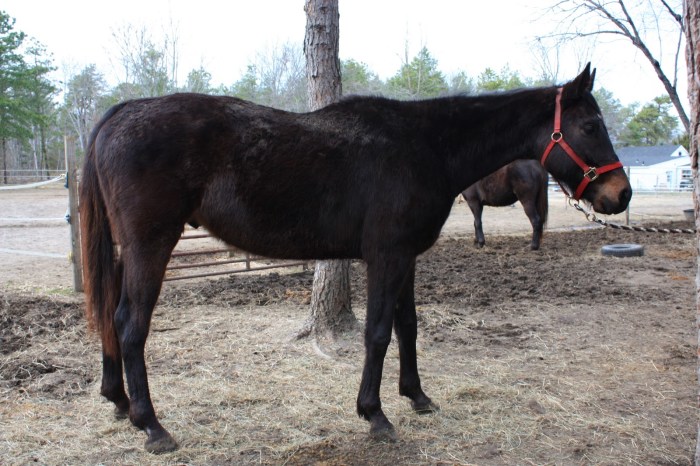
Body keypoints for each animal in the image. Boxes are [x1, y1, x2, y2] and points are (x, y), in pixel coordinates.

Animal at [79, 63, 632, 454]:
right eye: (589, 125)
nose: (621, 194)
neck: (425, 147)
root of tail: (121, 113)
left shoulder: (406, 257)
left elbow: (408, 327)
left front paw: (417, 396)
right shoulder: (386, 257)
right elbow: (379, 332)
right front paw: (375, 414)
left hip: (131, 251)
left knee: (110, 318)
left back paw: (119, 401)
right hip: (151, 246)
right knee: (130, 324)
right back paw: (152, 426)